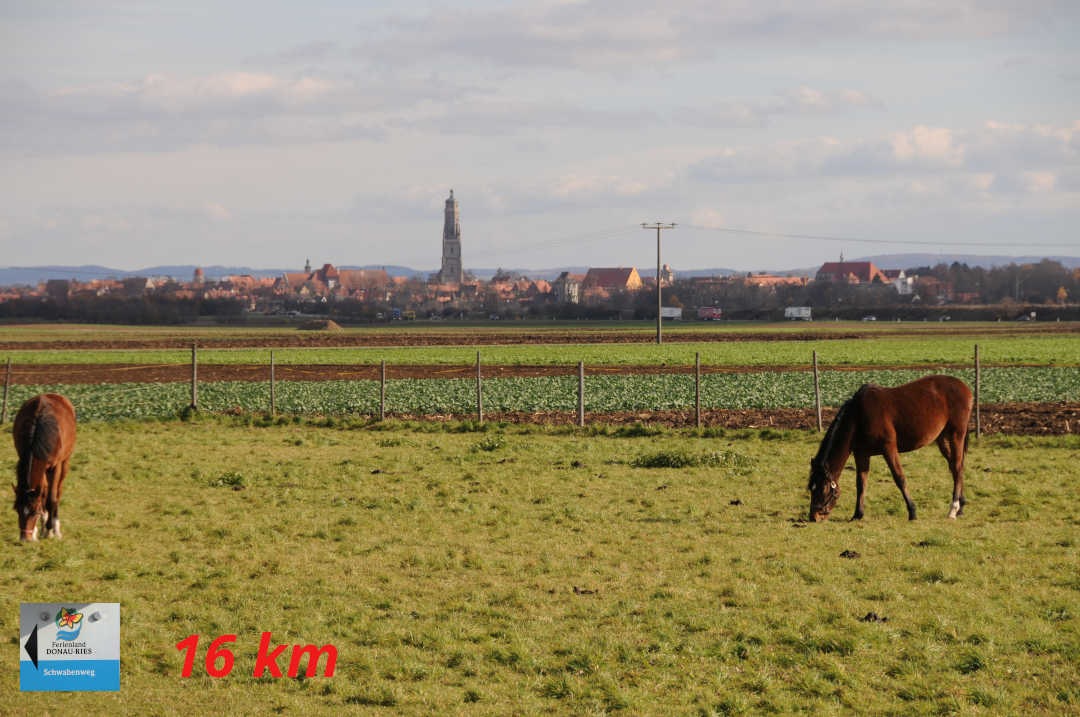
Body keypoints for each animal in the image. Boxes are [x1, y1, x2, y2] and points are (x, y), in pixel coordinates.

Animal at [12, 395, 76, 539]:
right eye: (17, 509)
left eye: (34, 512)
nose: (25, 539)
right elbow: (43, 494)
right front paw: (38, 529)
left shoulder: (55, 467)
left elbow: (52, 498)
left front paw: (49, 530)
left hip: (64, 463)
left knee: (57, 492)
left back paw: (55, 526)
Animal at [807, 375, 976, 520]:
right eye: (811, 488)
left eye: (822, 489)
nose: (813, 517)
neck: (859, 416)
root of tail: (965, 388)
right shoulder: (861, 454)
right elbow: (861, 483)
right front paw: (857, 514)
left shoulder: (888, 448)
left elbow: (899, 478)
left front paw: (912, 512)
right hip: (943, 439)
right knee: (955, 468)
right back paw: (960, 506)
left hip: (956, 435)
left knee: (957, 468)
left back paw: (953, 509)